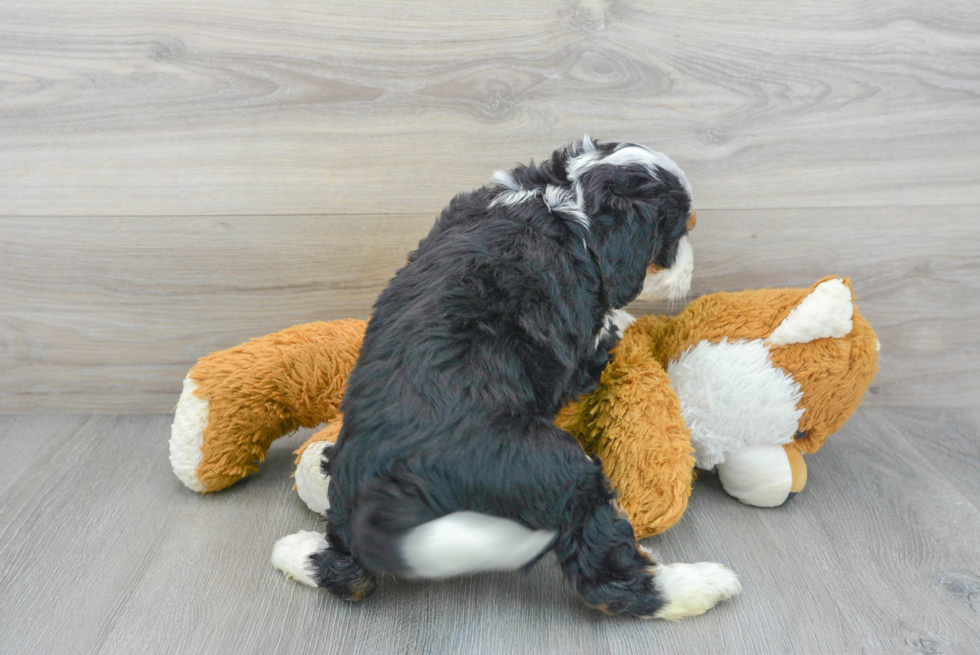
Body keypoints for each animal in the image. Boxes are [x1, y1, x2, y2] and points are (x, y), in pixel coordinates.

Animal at [272, 137, 740, 620]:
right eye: (678, 233)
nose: (689, 276)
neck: (565, 198)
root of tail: (392, 485)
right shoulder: (577, 344)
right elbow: (601, 337)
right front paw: (625, 321)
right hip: (559, 472)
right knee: (605, 577)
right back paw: (699, 584)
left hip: (349, 493)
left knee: (347, 572)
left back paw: (296, 552)